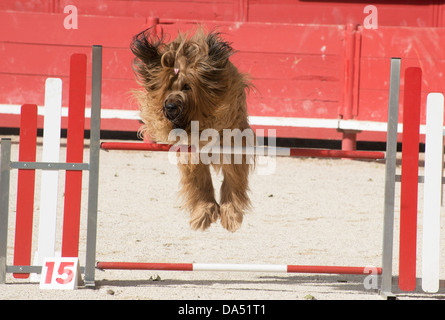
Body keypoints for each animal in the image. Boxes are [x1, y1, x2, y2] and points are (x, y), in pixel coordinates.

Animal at [129, 27, 253, 231]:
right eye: (167, 88)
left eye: (187, 87)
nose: (170, 106)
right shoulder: (189, 148)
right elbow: (199, 178)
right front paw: (205, 212)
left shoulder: (233, 141)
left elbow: (232, 176)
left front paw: (230, 214)